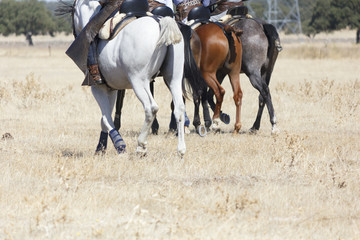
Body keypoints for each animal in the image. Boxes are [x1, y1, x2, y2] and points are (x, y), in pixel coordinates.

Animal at [67, 0, 202, 156]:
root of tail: (160, 22)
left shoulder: (98, 88)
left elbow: (105, 118)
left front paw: (118, 145)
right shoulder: (111, 89)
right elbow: (105, 118)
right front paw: (101, 147)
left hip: (139, 82)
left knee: (151, 108)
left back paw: (141, 146)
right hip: (173, 79)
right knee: (179, 108)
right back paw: (180, 149)